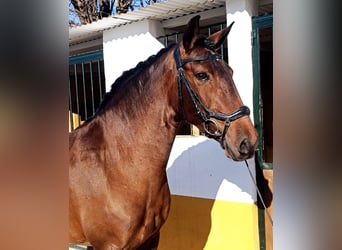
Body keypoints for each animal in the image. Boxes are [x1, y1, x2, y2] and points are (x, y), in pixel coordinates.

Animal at [69, 16, 256, 250]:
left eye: (230, 72)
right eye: (202, 75)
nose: (248, 141)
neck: (112, 164)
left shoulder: (151, 240)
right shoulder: (108, 245)